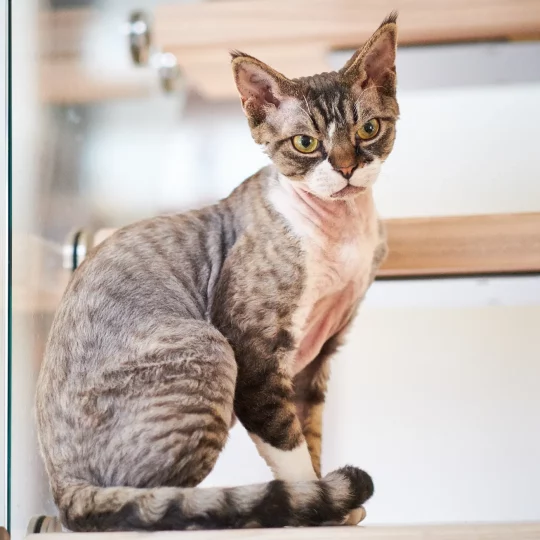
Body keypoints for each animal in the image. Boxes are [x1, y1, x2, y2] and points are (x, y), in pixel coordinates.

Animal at [33, 12, 396, 532]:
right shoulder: (254, 351)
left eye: (368, 129)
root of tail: (60, 487)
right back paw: (246, 511)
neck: (343, 233)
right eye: (305, 143)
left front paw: (332, 508)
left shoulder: (318, 356)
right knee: (145, 505)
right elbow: (288, 446)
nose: (345, 168)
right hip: (209, 346)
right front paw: (310, 505)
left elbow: (311, 435)